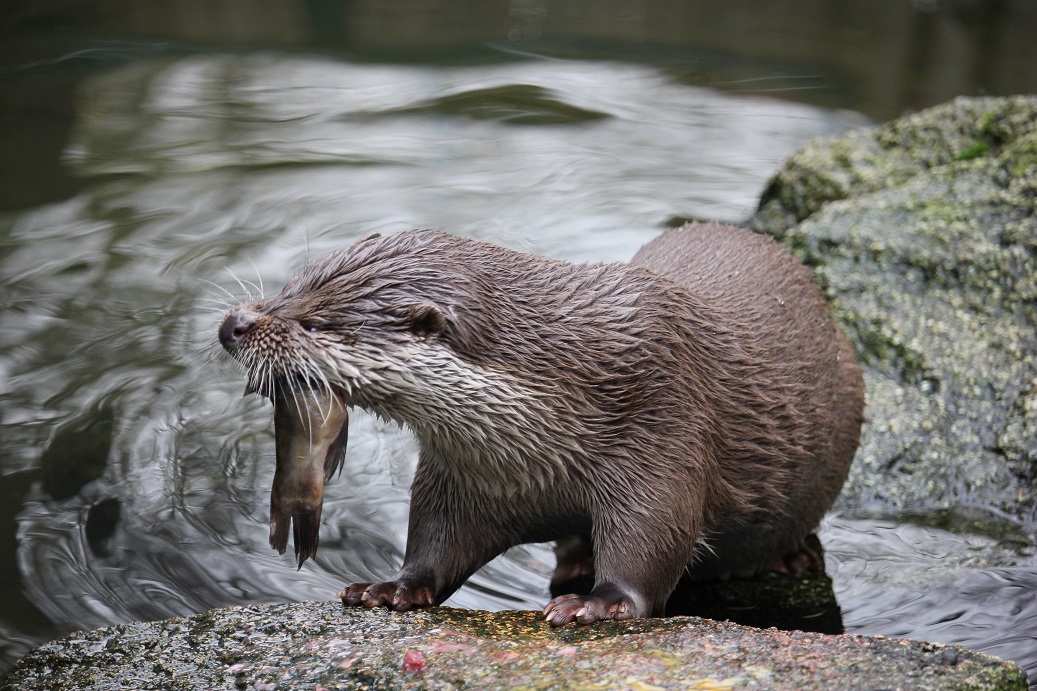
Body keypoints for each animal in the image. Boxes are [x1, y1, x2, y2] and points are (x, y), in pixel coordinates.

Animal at [218, 225, 866, 622]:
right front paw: (393, 588)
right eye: (289, 287)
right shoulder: (462, 476)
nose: (233, 324)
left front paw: (598, 604)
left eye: (315, 324)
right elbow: (436, 538)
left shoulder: (663, 429)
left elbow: (654, 537)